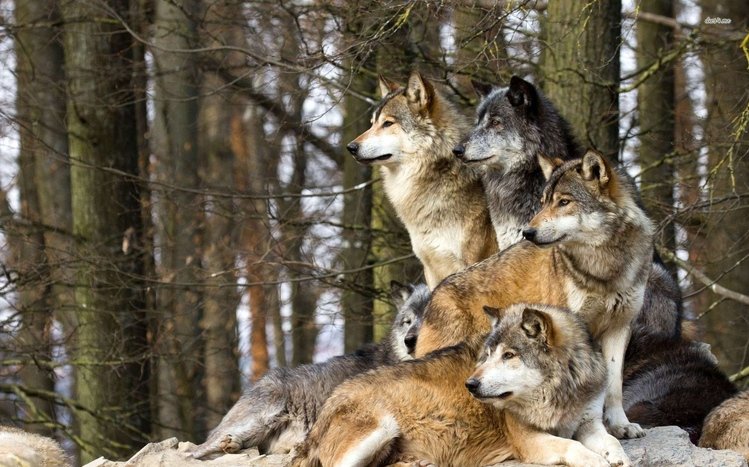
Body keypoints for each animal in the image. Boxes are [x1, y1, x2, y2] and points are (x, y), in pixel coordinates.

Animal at [292, 303, 626, 467]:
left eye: (508, 356)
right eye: (487, 355)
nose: (471, 384)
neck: (560, 393)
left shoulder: (589, 424)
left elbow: (611, 441)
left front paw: (618, 457)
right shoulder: (529, 440)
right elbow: (572, 447)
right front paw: (597, 461)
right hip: (382, 427)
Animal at [415, 151, 653, 439]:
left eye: (564, 202)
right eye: (543, 203)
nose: (527, 232)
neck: (603, 269)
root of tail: (435, 293)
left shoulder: (619, 327)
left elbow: (614, 385)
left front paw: (620, 425)